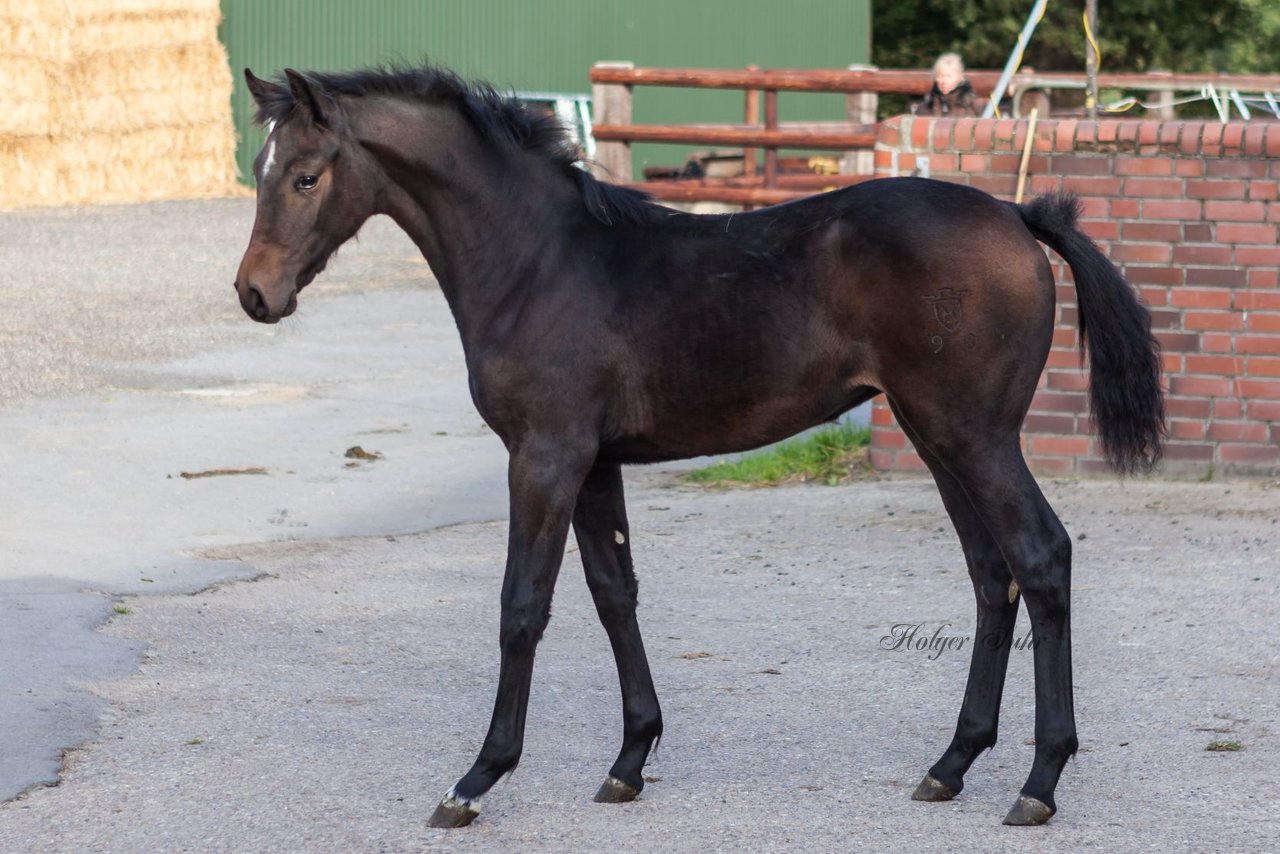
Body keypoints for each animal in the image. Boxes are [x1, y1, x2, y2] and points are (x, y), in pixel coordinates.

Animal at [235, 66, 1167, 829]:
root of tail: (1016, 211)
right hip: (938, 436)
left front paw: (476, 780)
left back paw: (1039, 782)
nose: (254, 294)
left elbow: (522, 605)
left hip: (973, 434)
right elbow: (614, 593)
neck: (540, 261)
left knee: (1040, 557)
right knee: (989, 573)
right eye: (259, 170)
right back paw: (952, 764)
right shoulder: (594, 461)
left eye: (307, 175)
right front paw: (629, 760)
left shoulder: (544, 455)